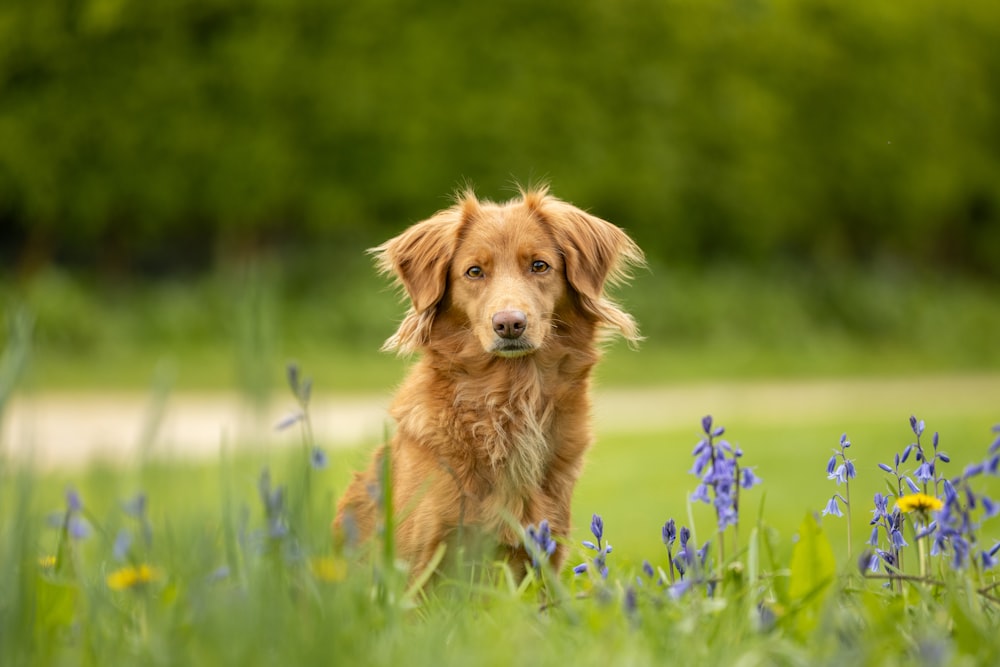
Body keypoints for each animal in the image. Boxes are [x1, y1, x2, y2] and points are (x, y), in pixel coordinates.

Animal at [332, 184, 644, 580]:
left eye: (539, 265)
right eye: (474, 271)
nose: (509, 323)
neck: (508, 397)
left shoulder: (543, 555)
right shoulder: (418, 564)